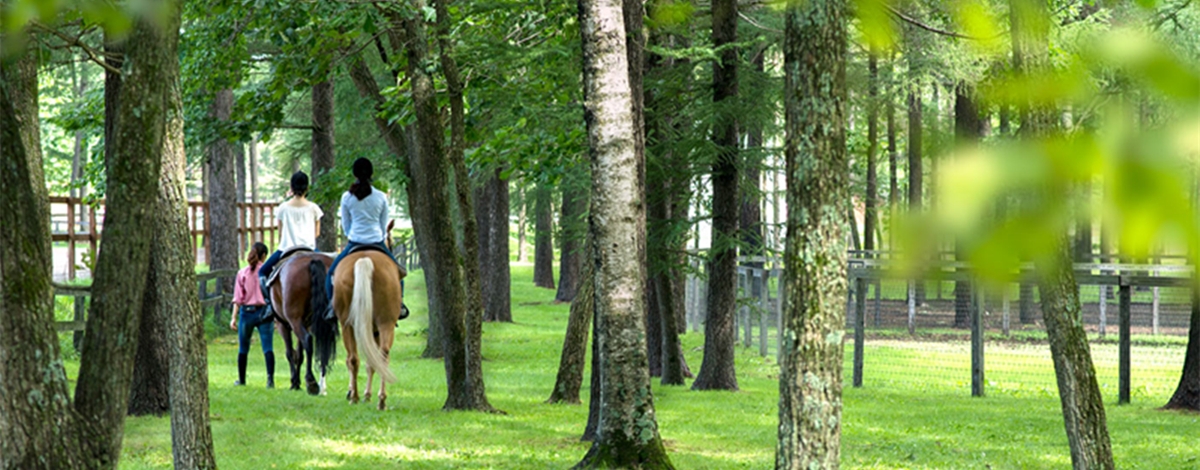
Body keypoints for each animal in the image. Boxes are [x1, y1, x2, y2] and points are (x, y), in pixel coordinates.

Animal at [265, 251, 336, 395]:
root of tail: (313, 260)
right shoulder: (306, 324)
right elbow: (300, 354)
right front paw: (297, 382)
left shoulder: (283, 325)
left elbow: (290, 353)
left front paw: (294, 382)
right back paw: (321, 384)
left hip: (294, 320)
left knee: (308, 340)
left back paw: (311, 381)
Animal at [331, 242, 405, 407]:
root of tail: (364, 260)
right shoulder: (375, 331)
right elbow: (372, 362)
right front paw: (366, 394)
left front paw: (360, 393)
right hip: (385, 323)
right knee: (382, 355)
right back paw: (381, 400)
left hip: (347, 325)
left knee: (353, 359)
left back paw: (355, 397)